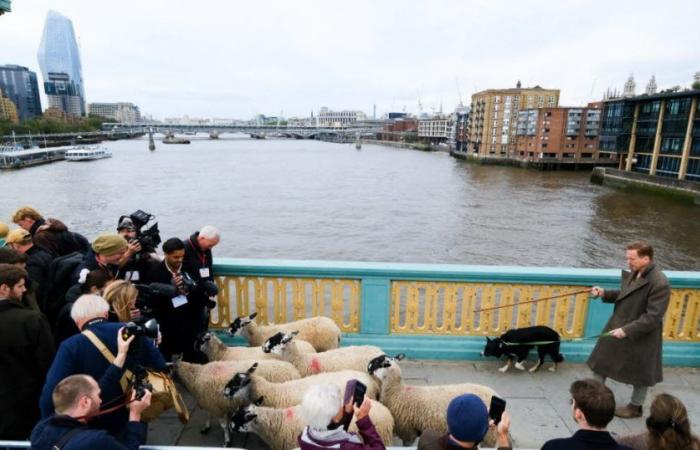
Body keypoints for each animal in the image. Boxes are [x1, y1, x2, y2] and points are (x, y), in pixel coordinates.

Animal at [174, 358, 302, 446]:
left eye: (236, 385)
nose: (223, 392)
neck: (195, 376)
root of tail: (294, 369)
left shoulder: (215, 406)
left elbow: (224, 426)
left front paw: (227, 441)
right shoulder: (211, 403)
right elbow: (209, 415)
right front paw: (206, 427)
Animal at [366, 356, 498, 446]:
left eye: (378, 362)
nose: (368, 368)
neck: (397, 391)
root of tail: (494, 393)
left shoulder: (408, 431)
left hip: (489, 436)